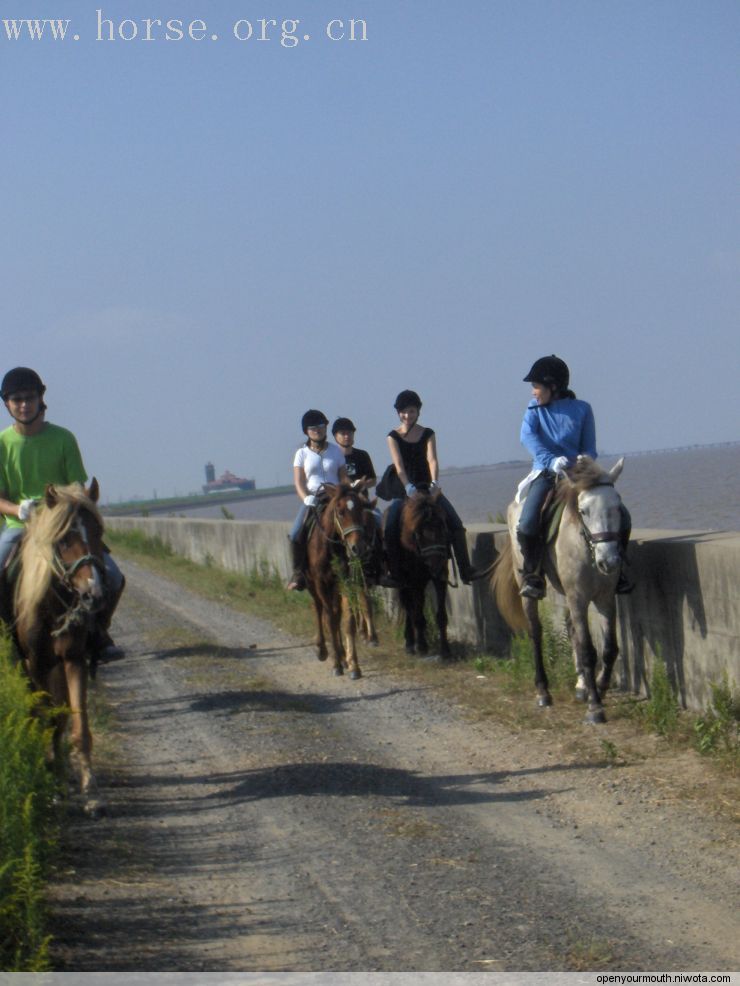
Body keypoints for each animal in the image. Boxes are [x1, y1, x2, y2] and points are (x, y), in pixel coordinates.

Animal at [13, 480, 109, 812]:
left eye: (98, 531)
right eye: (64, 539)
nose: (94, 594)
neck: (53, 606)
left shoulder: (73, 659)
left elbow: (77, 725)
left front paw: (90, 791)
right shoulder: (37, 664)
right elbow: (46, 720)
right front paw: (53, 782)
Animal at [304, 482, 376, 676]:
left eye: (360, 509)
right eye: (341, 511)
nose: (357, 547)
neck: (329, 547)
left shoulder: (344, 582)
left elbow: (345, 620)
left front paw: (352, 664)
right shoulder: (320, 583)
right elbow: (329, 618)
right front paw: (336, 664)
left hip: (334, 588)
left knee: (336, 614)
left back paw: (343, 655)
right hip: (313, 586)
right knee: (319, 609)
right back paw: (322, 649)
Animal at [396, 486, 454, 656]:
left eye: (442, 526)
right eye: (418, 533)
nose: (435, 565)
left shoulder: (441, 578)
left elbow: (441, 615)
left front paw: (445, 650)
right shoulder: (415, 581)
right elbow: (417, 613)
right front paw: (422, 646)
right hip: (403, 582)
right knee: (408, 606)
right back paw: (410, 642)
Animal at [494, 456, 628, 724]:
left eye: (617, 507)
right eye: (584, 510)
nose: (609, 562)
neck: (587, 548)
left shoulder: (605, 598)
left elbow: (609, 648)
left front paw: (599, 687)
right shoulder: (578, 597)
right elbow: (587, 650)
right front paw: (595, 706)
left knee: (570, 628)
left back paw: (581, 686)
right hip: (528, 588)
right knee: (536, 632)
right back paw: (543, 691)